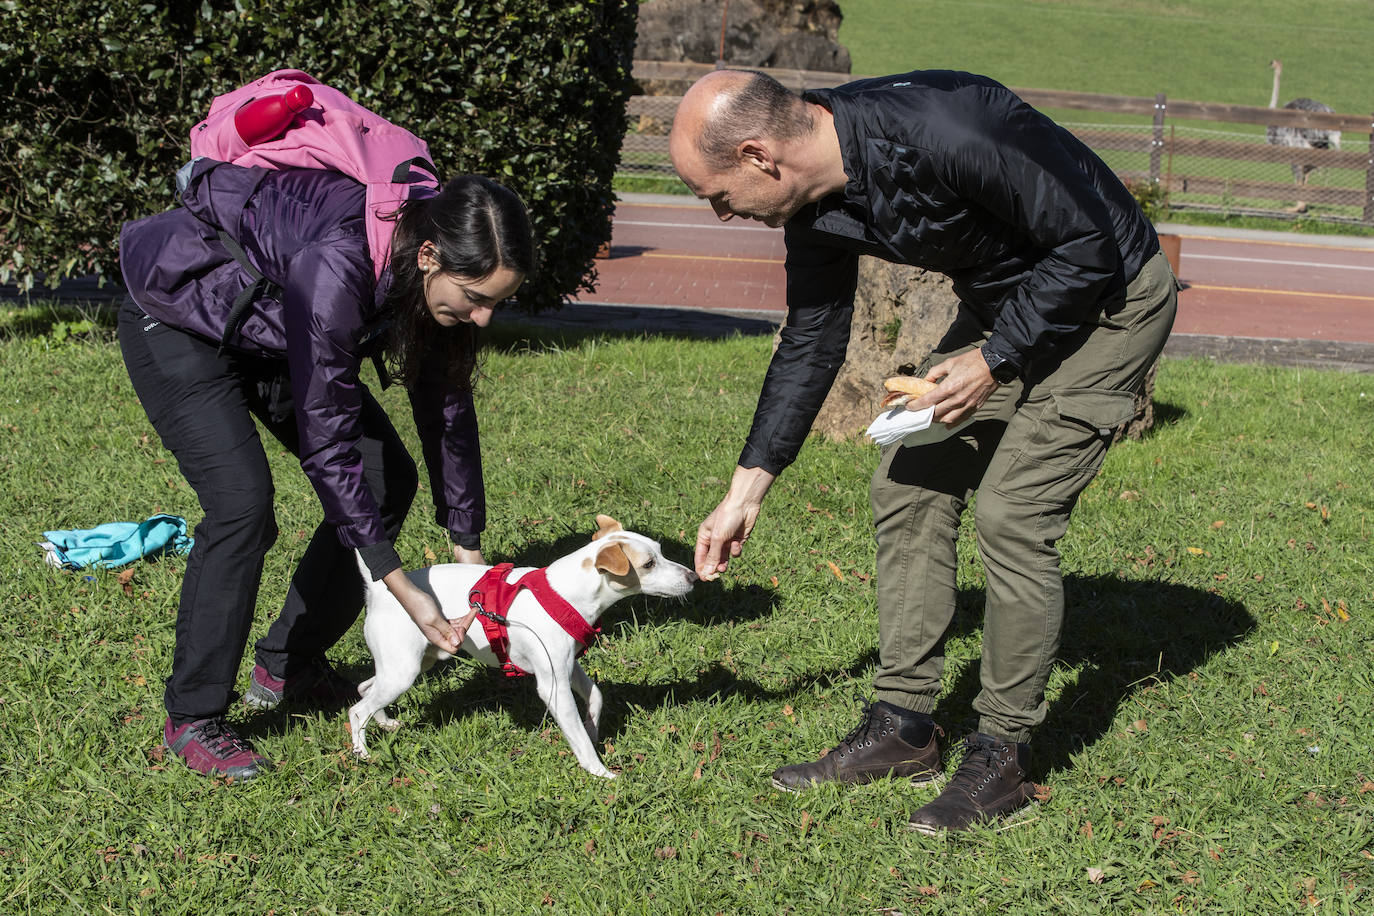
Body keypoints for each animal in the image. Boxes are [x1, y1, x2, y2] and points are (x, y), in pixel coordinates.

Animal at [351, 513, 697, 780]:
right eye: (649, 564)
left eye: (661, 552)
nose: (693, 576)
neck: (565, 593)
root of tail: (379, 591)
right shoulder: (554, 687)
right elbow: (580, 742)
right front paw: (600, 772)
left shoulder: (568, 665)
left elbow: (596, 696)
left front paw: (592, 727)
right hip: (404, 670)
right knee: (357, 710)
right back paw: (362, 753)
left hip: (416, 661)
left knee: (365, 688)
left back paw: (384, 722)